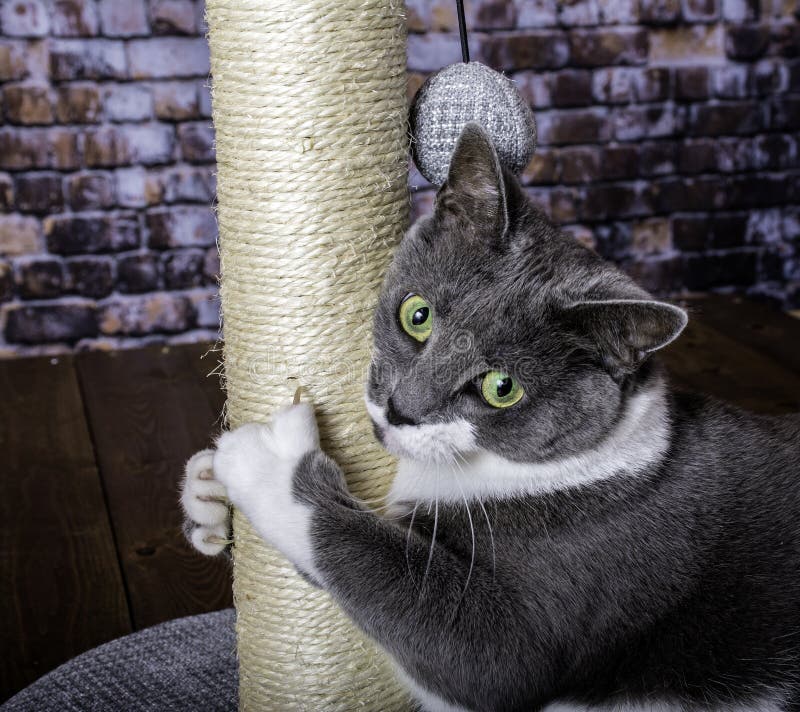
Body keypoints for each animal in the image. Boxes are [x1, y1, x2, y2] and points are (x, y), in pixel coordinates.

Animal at [181, 124, 800, 712]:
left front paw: (266, 461)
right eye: (417, 314)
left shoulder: (559, 600)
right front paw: (206, 492)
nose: (401, 409)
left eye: (503, 388)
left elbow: (456, 638)